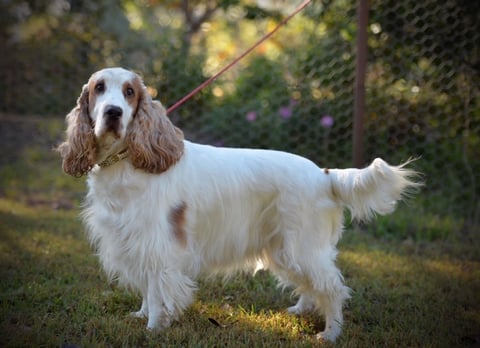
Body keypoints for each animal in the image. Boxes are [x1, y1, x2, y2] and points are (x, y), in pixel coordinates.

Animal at [57, 66, 420, 342]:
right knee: (313, 284)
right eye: (99, 88)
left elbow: (158, 291)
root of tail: (323, 174)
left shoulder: (159, 245)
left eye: (130, 92)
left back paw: (330, 334)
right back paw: (301, 310)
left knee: (332, 288)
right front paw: (142, 315)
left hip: (302, 245)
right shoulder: (136, 241)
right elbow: (148, 288)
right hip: (286, 247)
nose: (113, 112)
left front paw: (154, 327)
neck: (125, 163)